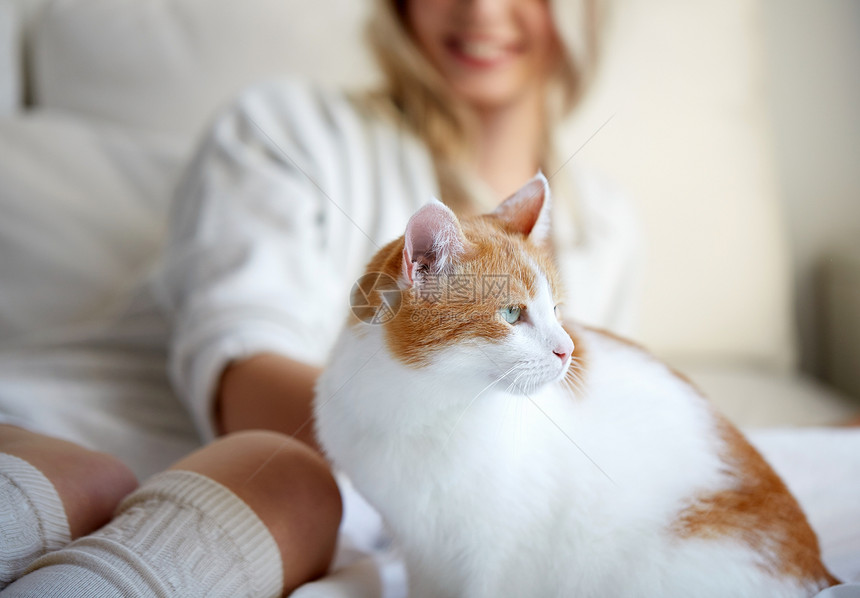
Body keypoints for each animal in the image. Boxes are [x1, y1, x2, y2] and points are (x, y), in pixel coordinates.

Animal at [312, 175, 836, 598]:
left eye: (557, 310)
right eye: (512, 313)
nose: (567, 350)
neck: (422, 409)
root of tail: (818, 572)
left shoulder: (498, 557)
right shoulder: (422, 552)